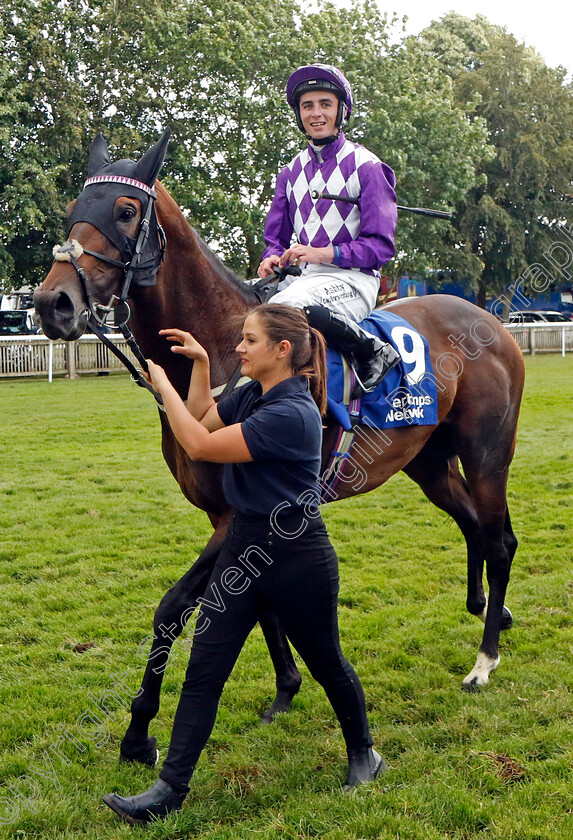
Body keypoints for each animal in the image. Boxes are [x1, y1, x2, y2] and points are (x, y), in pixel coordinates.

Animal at [31, 131, 524, 768]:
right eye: (72, 211)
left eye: (125, 210)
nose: (53, 303)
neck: (220, 351)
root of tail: (493, 320)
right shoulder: (236, 511)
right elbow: (258, 600)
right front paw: (286, 689)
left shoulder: (239, 513)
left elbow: (173, 609)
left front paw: (139, 734)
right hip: (429, 462)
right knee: (473, 526)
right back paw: (489, 608)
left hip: (488, 455)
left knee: (500, 540)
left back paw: (483, 662)